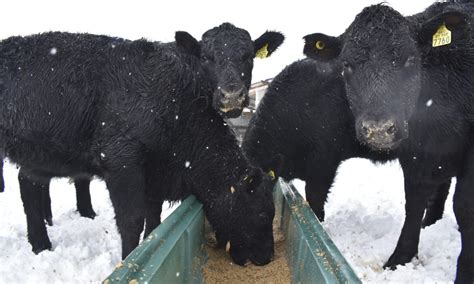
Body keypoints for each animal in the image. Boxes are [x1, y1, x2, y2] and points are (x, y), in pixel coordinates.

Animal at [0, 22, 282, 264]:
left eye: (249, 56)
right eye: (262, 213)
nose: (267, 257)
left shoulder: (155, 176)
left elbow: (153, 217)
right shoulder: (122, 161)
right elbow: (132, 220)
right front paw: (129, 259)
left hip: (38, 155)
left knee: (29, 183)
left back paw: (41, 243)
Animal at [304, 1, 474, 282]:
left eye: (410, 60)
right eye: (346, 65)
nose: (378, 129)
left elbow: (465, 207)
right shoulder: (415, 153)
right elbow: (414, 201)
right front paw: (401, 258)